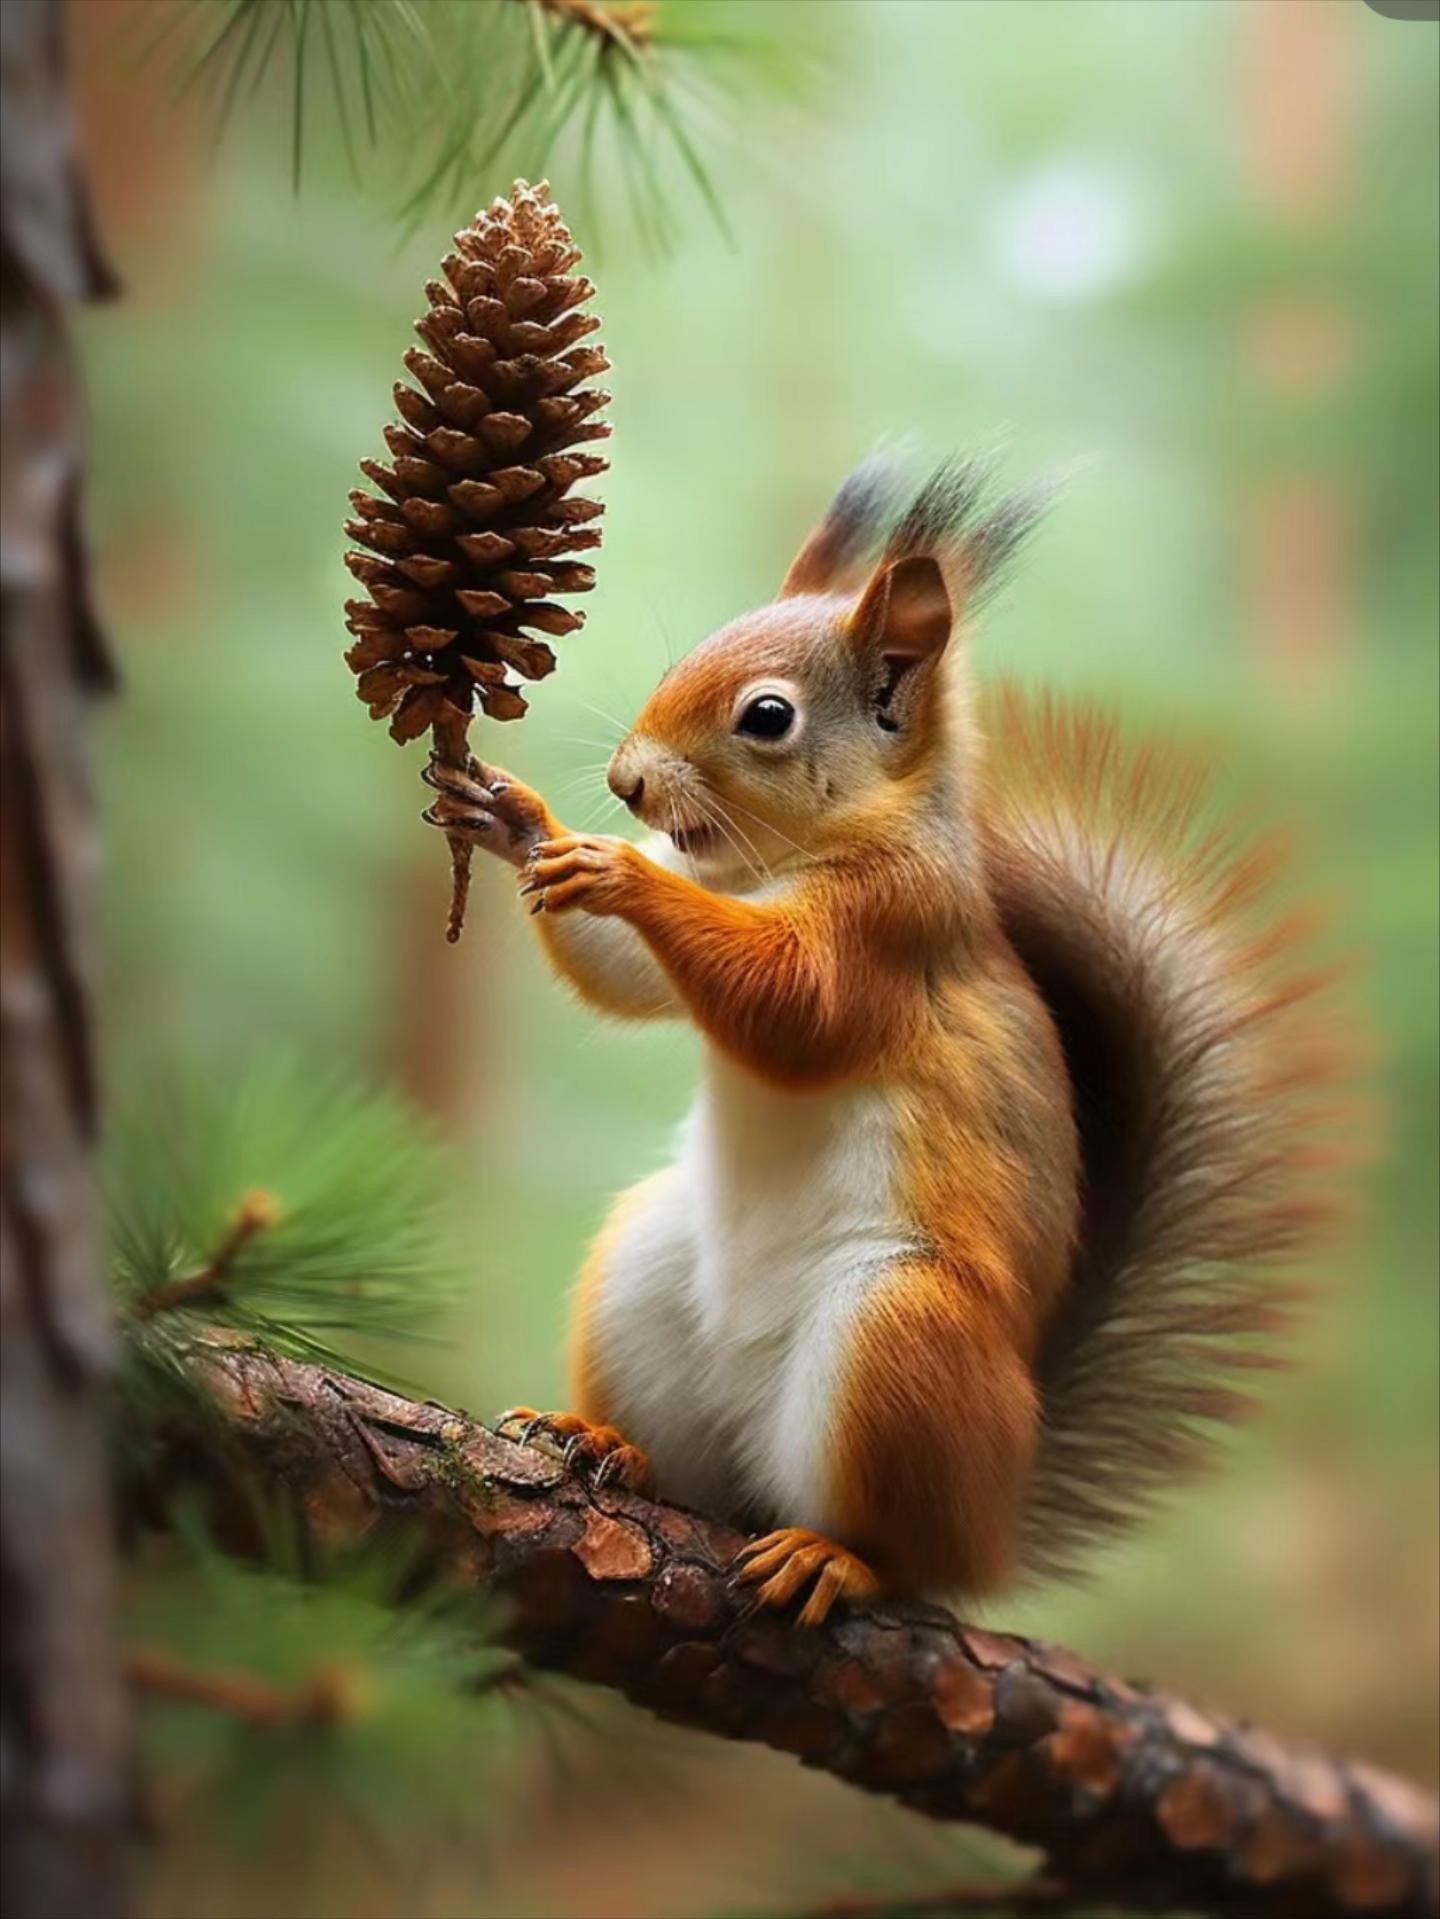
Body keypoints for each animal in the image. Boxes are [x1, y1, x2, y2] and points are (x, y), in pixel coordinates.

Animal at [422, 456, 1351, 1627]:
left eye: (768, 716)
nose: (629, 783)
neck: (778, 860)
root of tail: (998, 1512)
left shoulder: (893, 928)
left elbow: (794, 1005)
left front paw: (618, 868)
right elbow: (627, 975)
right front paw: (513, 818)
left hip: (902, 1334)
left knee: (904, 1548)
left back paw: (839, 1557)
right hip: (646, 1271)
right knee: (695, 1476)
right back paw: (604, 1440)